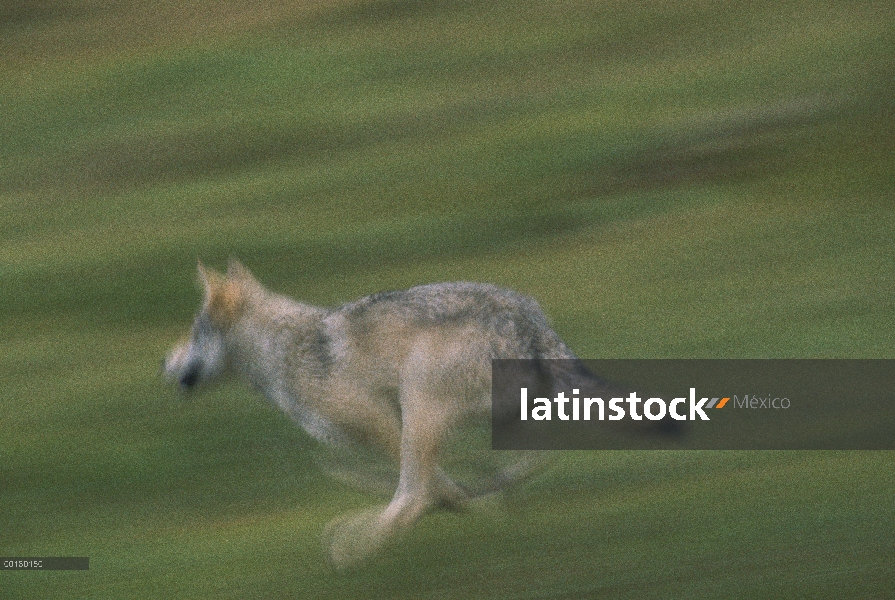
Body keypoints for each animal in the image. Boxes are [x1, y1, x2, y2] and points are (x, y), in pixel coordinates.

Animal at [164, 260, 604, 564]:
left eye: (195, 333)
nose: (164, 365)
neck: (281, 349)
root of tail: (529, 320)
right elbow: (446, 484)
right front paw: (478, 505)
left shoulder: (382, 424)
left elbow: (428, 487)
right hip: (509, 417)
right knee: (536, 457)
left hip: (420, 404)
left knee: (412, 496)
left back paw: (353, 542)